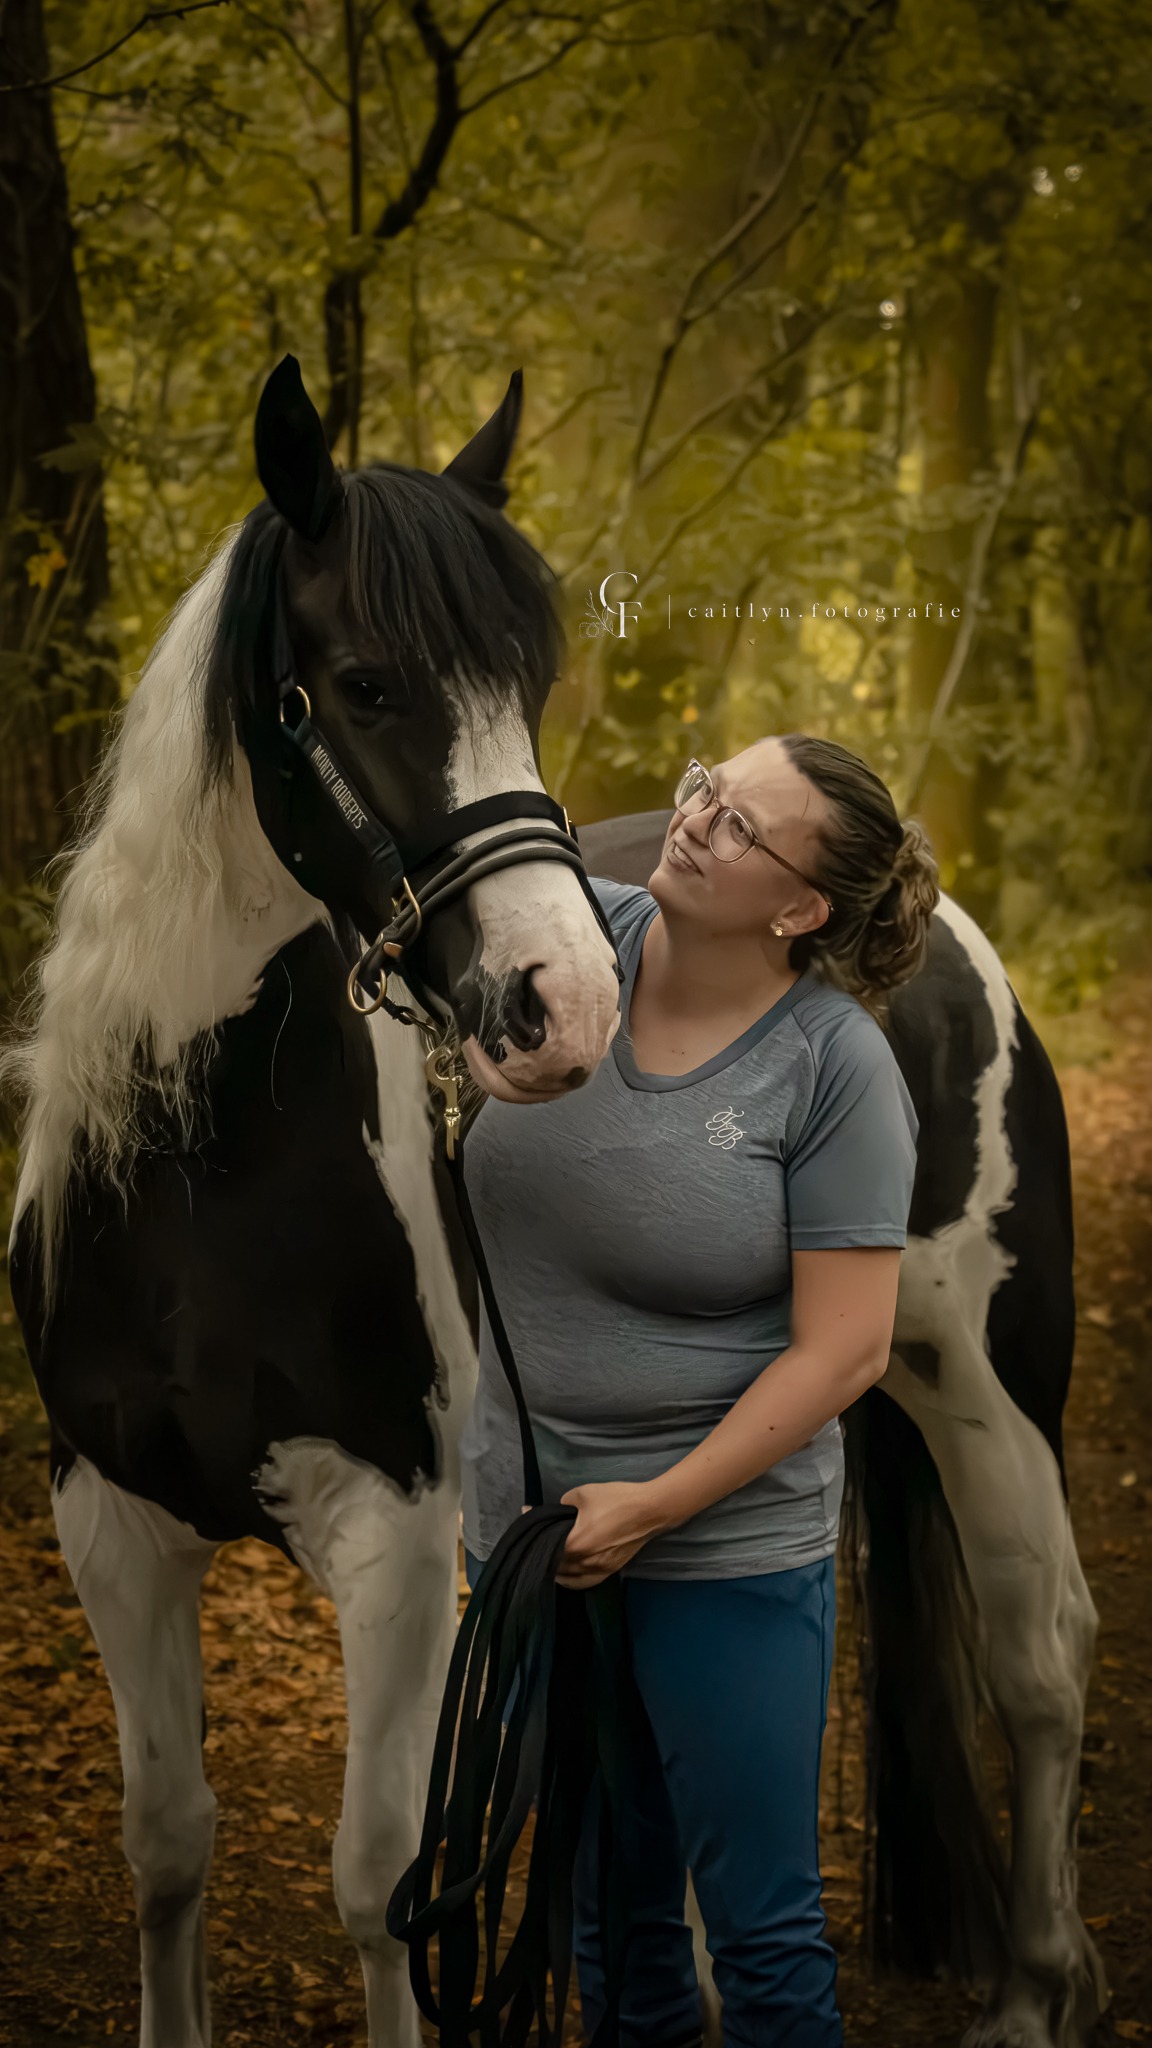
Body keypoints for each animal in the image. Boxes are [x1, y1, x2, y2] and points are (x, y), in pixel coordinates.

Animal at [3, 354, 621, 2048]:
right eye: (365, 686)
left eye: (526, 682)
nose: (567, 1000)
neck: (200, 1179)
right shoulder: (112, 1517)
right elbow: (167, 1845)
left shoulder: (397, 1536)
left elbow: (380, 1883)